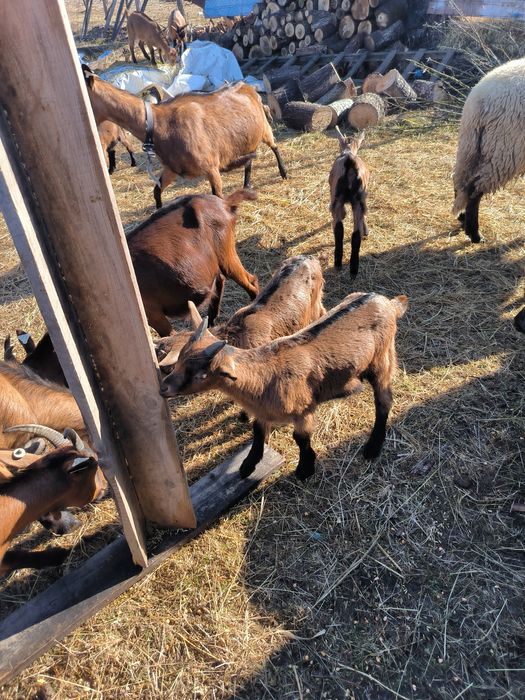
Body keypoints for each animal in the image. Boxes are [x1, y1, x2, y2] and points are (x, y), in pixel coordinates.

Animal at [82, 65, 287, 207]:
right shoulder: (172, 169)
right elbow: (156, 191)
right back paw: (247, 184)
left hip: (264, 129)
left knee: (274, 146)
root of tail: (247, 85)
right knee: (250, 160)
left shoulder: (211, 168)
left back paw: (283, 172)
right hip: (247, 139)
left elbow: (218, 199)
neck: (160, 123)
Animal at [128, 189, 259, 336]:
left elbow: (170, 335)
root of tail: (224, 203)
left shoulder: (152, 313)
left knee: (249, 281)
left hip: (227, 255)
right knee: (220, 280)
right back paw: (211, 320)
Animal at [160, 292, 408, 480]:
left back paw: (373, 446)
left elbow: (300, 438)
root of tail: (388, 303)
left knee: (384, 400)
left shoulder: (303, 410)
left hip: (382, 359)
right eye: (179, 360)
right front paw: (248, 466)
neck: (264, 377)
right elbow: (258, 432)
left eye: (201, 374)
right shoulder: (262, 411)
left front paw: (305, 469)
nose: (163, 388)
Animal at [329, 127, 369, 277]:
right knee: (354, 233)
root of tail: (350, 160)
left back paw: (339, 264)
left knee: (339, 228)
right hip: (358, 199)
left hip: (338, 197)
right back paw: (352, 269)